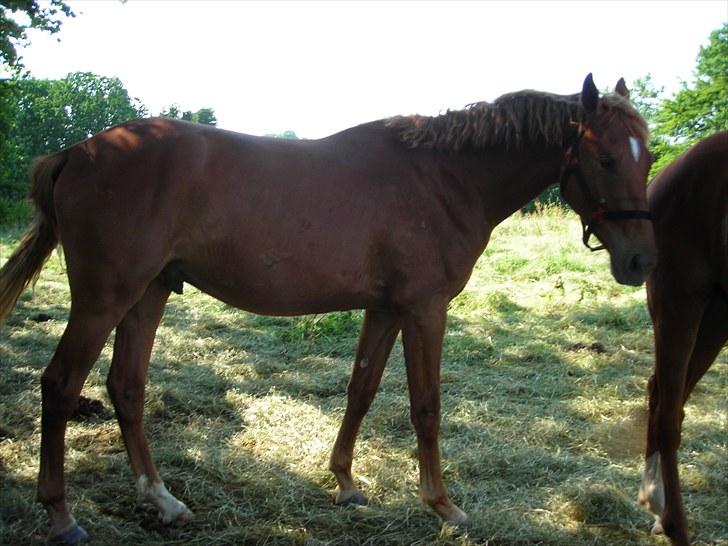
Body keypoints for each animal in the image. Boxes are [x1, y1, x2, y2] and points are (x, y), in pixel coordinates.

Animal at [0, 74, 656, 540]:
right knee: (60, 385)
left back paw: (163, 499)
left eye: (646, 158)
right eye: (604, 159)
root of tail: (78, 151)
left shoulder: (385, 310)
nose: (639, 262)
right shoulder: (425, 310)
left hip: (149, 293)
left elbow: (360, 389)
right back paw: (61, 516)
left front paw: (344, 482)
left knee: (127, 387)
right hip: (104, 298)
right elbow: (426, 407)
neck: (444, 178)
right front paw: (443, 506)